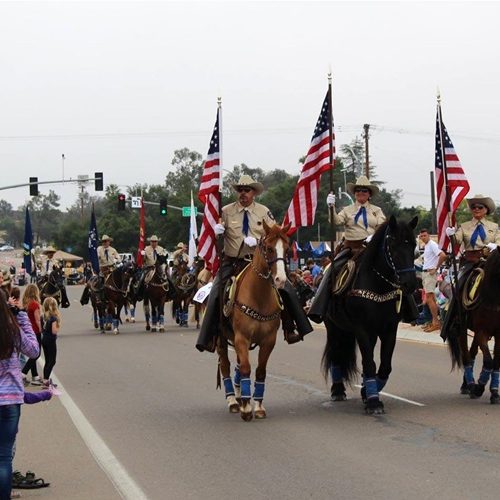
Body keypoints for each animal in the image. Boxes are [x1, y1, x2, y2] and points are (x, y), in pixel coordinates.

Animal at [217, 221, 292, 420]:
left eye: (287, 249)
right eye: (269, 248)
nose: (280, 279)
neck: (259, 296)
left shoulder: (268, 340)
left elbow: (260, 371)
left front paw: (257, 405)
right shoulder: (242, 337)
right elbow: (245, 368)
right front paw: (245, 407)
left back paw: (238, 395)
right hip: (221, 340)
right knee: (226, 365)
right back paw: (233, 400)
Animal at [320, 215, 418, 414]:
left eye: (413, 245)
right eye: (393, 245)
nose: (410, 284)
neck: (378, 285)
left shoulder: (389, 329)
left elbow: (384, 366)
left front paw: (367, 392)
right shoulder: (362, 329)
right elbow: (369, 363)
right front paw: (374, 402)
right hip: (333, 327)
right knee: (336, 354)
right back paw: (338, 390)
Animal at [448, 248, 500, 404]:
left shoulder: (498, 333)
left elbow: (496, 362)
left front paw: (494, 392)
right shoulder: (482, 331)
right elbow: (488, 361)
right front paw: (479, 387)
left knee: (472, 354)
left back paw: (467, 384)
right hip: (462, 329)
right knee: (466, 356)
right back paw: (470, 385)